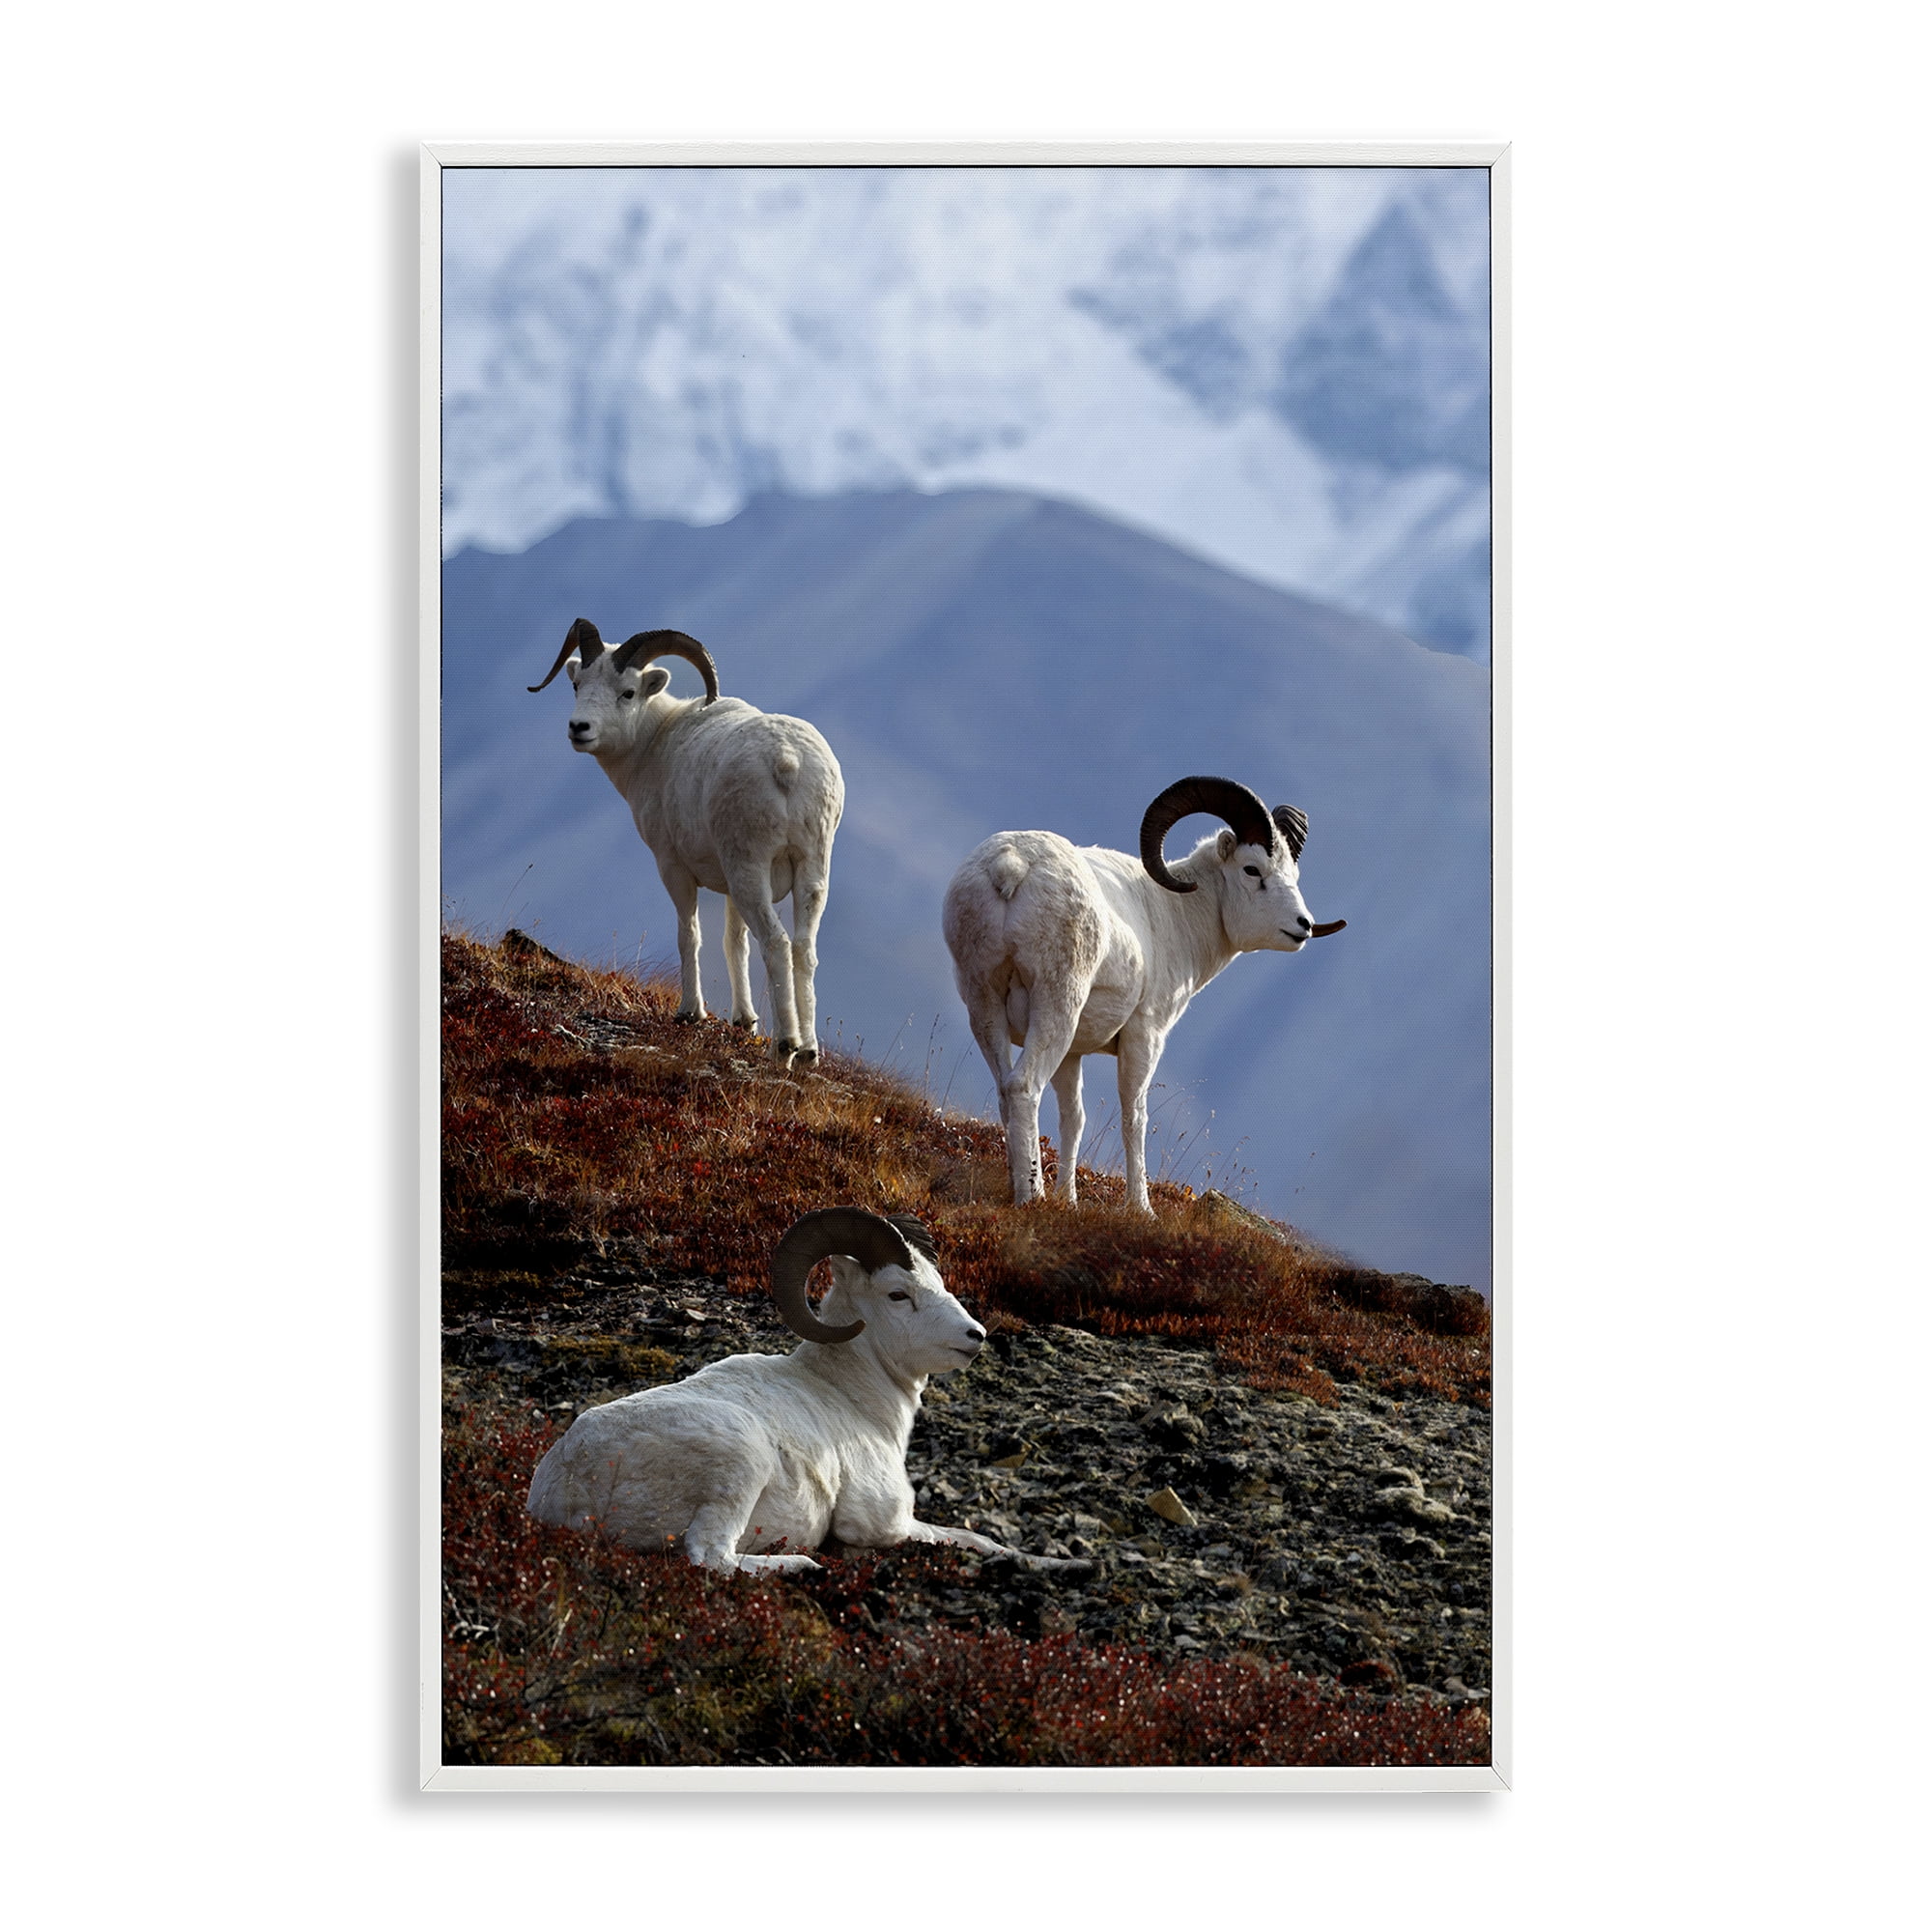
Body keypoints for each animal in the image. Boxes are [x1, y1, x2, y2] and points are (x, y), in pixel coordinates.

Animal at [527, 1209, 1078, 1575]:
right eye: (897, 1294)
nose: (975, 1335)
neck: (855, 1400)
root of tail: (570, 1487)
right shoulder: (886, 1523)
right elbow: (973, 1537)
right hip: (741, 1463)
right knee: (711, 1558)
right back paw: (803, 1564)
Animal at [529, 620, 843, 1064]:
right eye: (578, 685)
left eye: (628, 692)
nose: (579, 729)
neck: (654, 745)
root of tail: (787, 761)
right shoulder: (729, 887)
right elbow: (734, 943)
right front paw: (744, 1021)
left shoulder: (673, 867)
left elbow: (689, 935)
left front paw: (690, 1013)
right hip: (810, 872)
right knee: (803, 948)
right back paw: (809, 1052)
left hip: (750, 871)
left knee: (777, 943)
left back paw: (784, 1048)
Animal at [942, 776, 1346, 1213]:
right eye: (1252, 869)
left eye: (1293, 873)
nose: (1302, 925)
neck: (1177, 915)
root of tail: (1013, 865)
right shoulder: (1144, 1036)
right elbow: (1134, 1118)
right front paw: (1141, 1209)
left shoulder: (1073, 1054)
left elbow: (1073, 1119)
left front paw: (1070, 1201)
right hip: (1056, 1006)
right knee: (1023, 1087)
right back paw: (1032, 1196)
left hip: (984, 1004)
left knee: (1005, 1090)